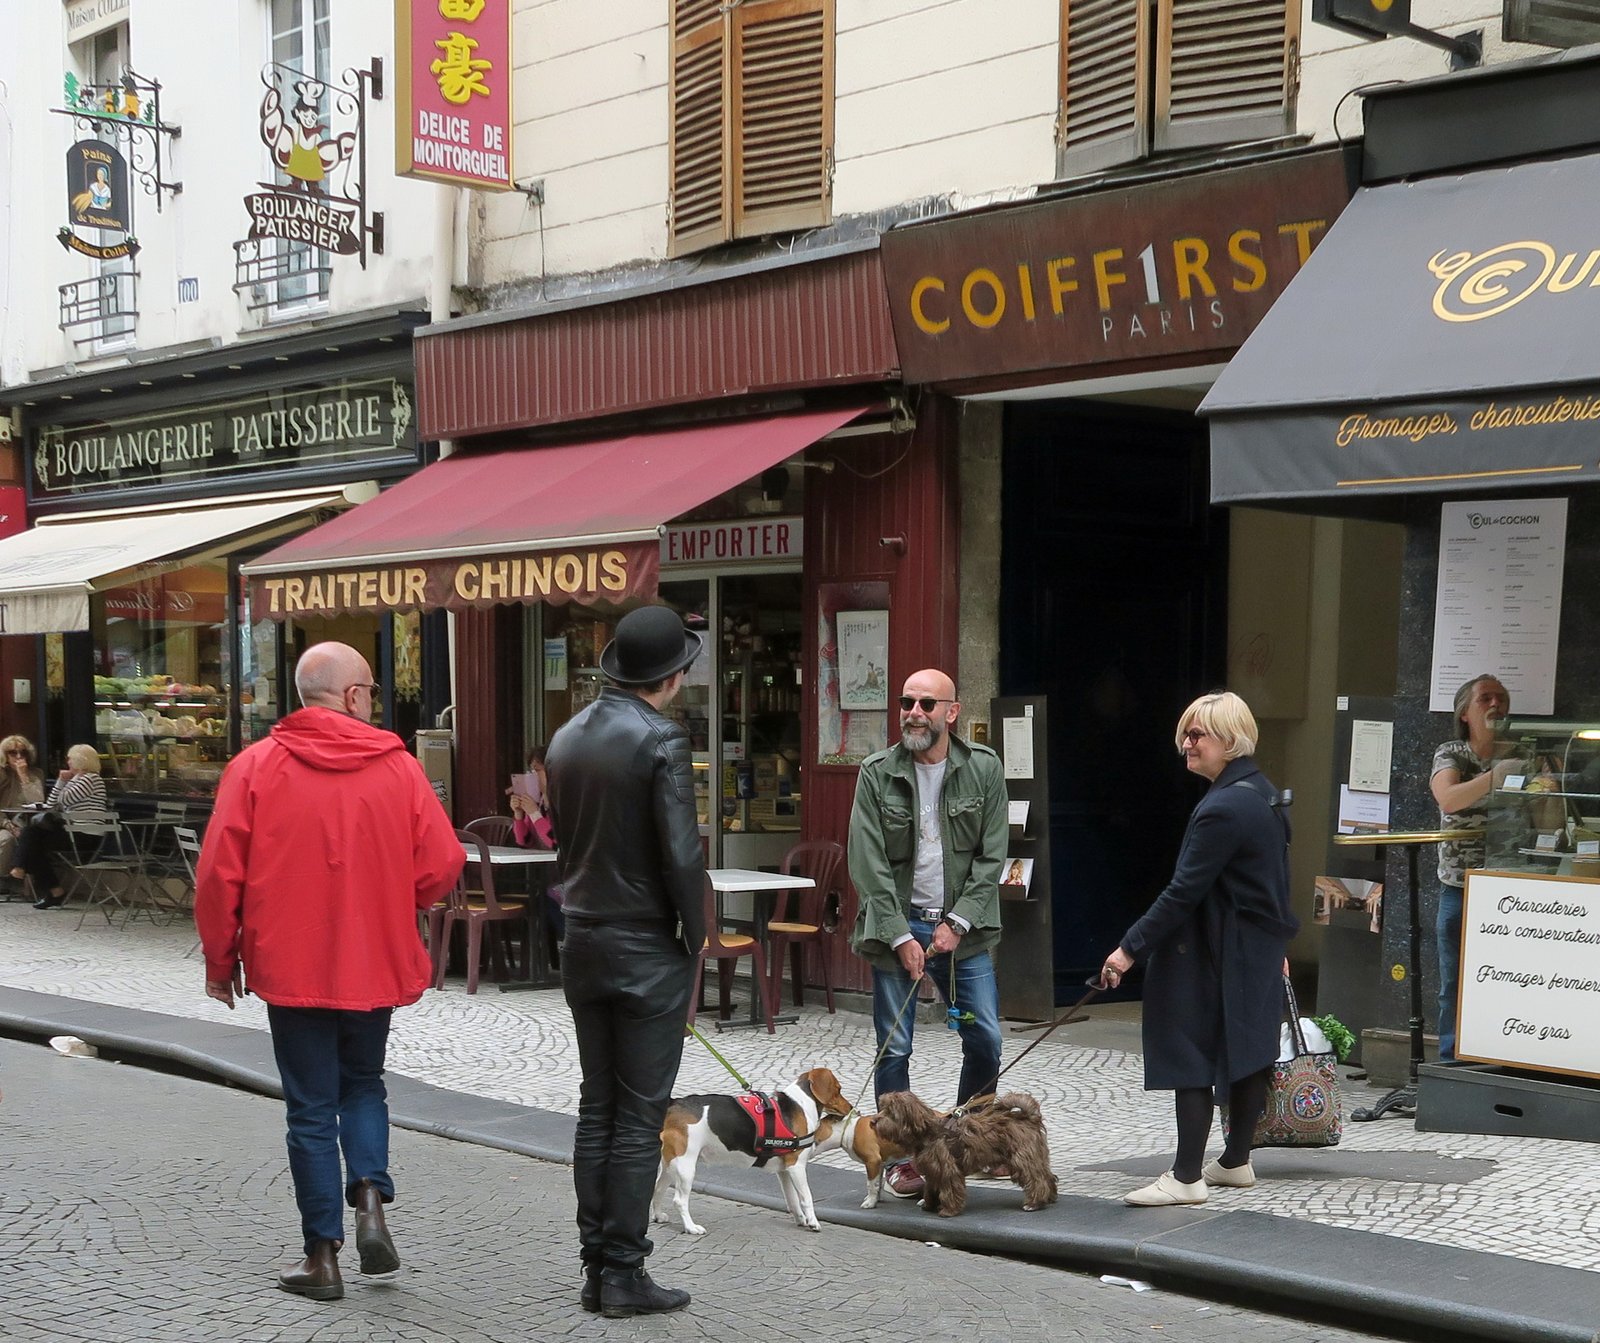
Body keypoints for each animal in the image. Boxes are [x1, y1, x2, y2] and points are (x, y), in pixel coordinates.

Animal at [653, 1067, 850, 1235]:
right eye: (839, 1089)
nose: (851, 1108)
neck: (799, 1104)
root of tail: (675, 1103)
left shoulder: (784, 1171)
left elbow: (792, 1200)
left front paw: (801, 1219)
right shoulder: (797, 1166)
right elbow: (806, 1197)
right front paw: (813, 1222)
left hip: (670, 1165)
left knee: (658, 1188)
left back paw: (658, 1216)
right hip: (685, 1166)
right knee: (679, 1200)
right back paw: (691, 1227)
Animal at [871, 1090, 1058, 1218]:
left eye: (891, 1113)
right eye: (882, 1109)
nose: (873, 1121)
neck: (929, 1133)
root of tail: (1028, 1118)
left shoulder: (948, 1171)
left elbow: (950, 1191)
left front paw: (948, 1210)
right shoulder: (933, 1172)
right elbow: (931, 1189)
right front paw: (929, 1205)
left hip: (1022, 1160)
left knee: (1037, 1180)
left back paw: (1034, 1203)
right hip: (1036, 1158)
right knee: (1047, 1177)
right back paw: (1049, 1197)